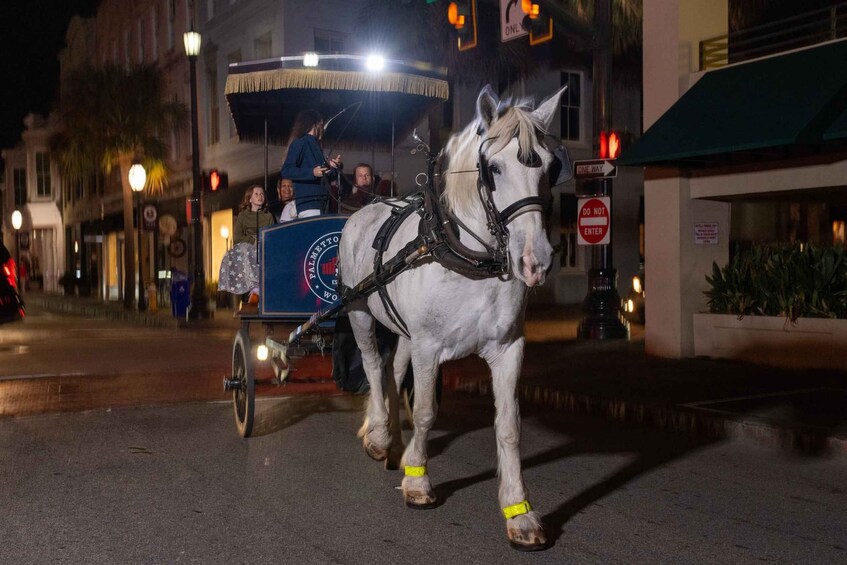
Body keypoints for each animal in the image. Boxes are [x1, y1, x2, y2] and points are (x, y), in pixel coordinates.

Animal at [336, 85, 564, 552]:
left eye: (552, 167)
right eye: (493, 168)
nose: (535, 261)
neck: (468, 257)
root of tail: (362, 210)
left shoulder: (508, 348)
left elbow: (509, 425)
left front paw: (520, 512)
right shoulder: (429, 345)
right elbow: (425, 410)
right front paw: (418, 480)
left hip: (403, 329)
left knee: (392, 369)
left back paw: (391, 437)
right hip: (358, 311)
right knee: (372, 365)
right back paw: (381, 433)